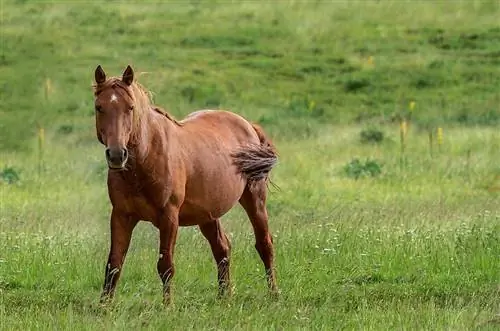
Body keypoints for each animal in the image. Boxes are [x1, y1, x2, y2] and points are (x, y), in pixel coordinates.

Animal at [92, 65, 280, 306]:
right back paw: (224, 297)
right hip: (208, 214)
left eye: (130, 107)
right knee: (222, 248)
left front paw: (167, 307)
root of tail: (249, 126)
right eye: (99, 107)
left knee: (265, 244)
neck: (147, 158)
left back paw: (274, 294)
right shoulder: (121, 216)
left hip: (255, 200)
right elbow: (114, 264)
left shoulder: (169, 217)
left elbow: (165, 265)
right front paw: (103, 308)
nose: (116, 155)